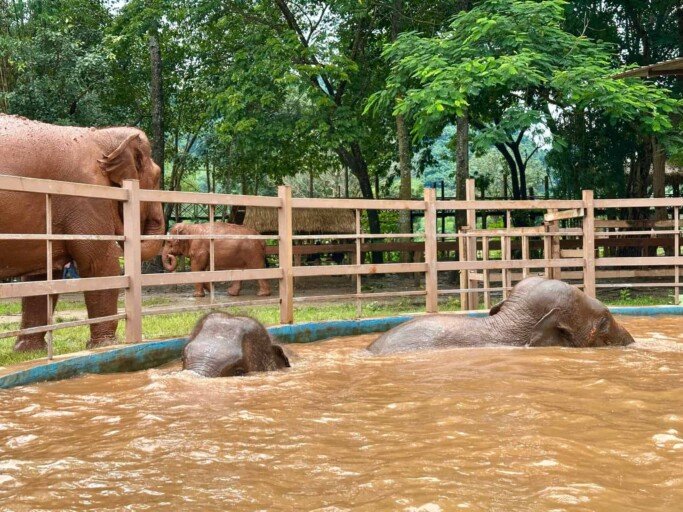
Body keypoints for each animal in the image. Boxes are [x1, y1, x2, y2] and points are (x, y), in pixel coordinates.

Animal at [0, 114, 165, 351]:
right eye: (158, 175)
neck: (101, 136)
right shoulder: (87, 196)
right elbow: (100, 263)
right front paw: (106, 344)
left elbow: (43, 276)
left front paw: (27, 351)